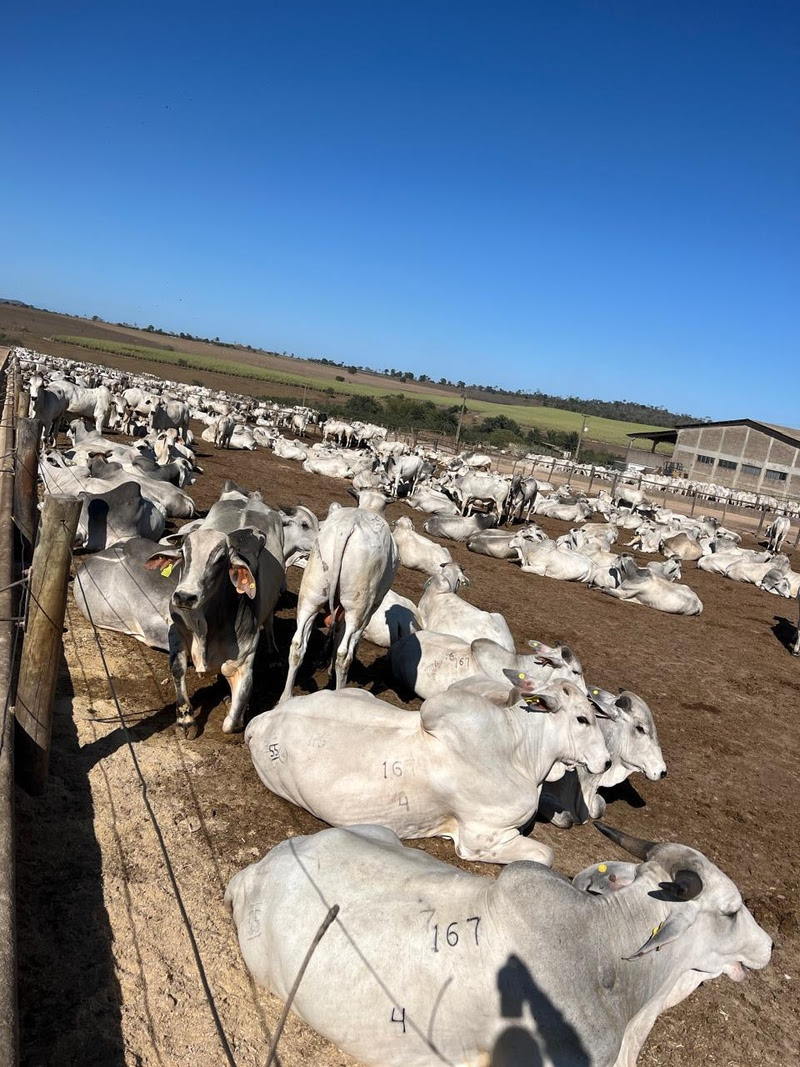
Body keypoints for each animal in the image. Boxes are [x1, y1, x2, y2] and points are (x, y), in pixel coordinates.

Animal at [247, 674, 610, 866]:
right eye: (582, 718)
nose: (606, 761)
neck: (519, 755)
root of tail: (263, 718)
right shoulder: (481, 839)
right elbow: (545, 854)